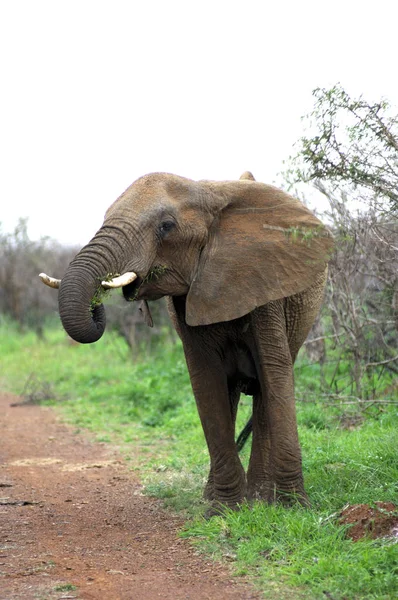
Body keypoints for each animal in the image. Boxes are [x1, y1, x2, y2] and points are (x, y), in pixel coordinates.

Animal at [39, 171, 332, 512]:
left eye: (166, 226)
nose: (100, 297)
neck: (208, 192)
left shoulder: (266, 283)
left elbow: (274, 371)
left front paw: (292, 508)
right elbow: (206, 381)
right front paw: (222, 511)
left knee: (262, 390)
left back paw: (261, 497)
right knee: (231, 391)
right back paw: (221, 495)